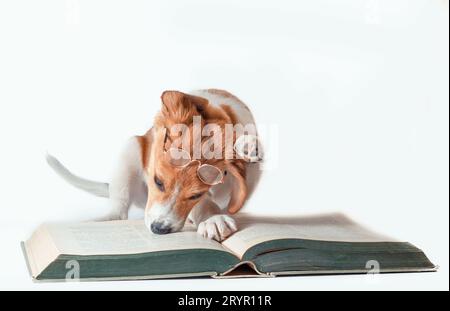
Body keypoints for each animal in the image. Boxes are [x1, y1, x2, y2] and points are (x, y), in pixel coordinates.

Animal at [46, 89, 262, 243]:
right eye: (157, 182)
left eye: (195, 195)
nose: (159, 229)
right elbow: (205, 205)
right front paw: (213, 219)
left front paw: (245, 145)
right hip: (131, 148)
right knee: (118, 211)